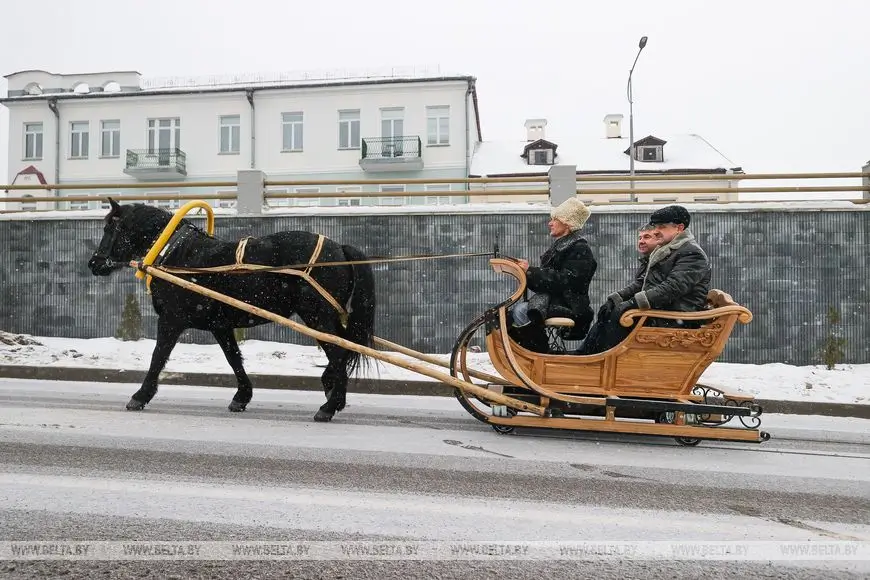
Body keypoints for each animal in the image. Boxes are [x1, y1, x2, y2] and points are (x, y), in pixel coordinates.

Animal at [87, 199, 376, 422]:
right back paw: (332, 393)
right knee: (342, 351)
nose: (94, 263)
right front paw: (242, 397)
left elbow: (158, 357)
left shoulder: (171, 320)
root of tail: (340, 248)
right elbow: (233, 358)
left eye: (110, 227)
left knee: (339, 352)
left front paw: (140, 396)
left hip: (317, 316)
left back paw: (329, 406)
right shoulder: (221, 326)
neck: (176, 254)